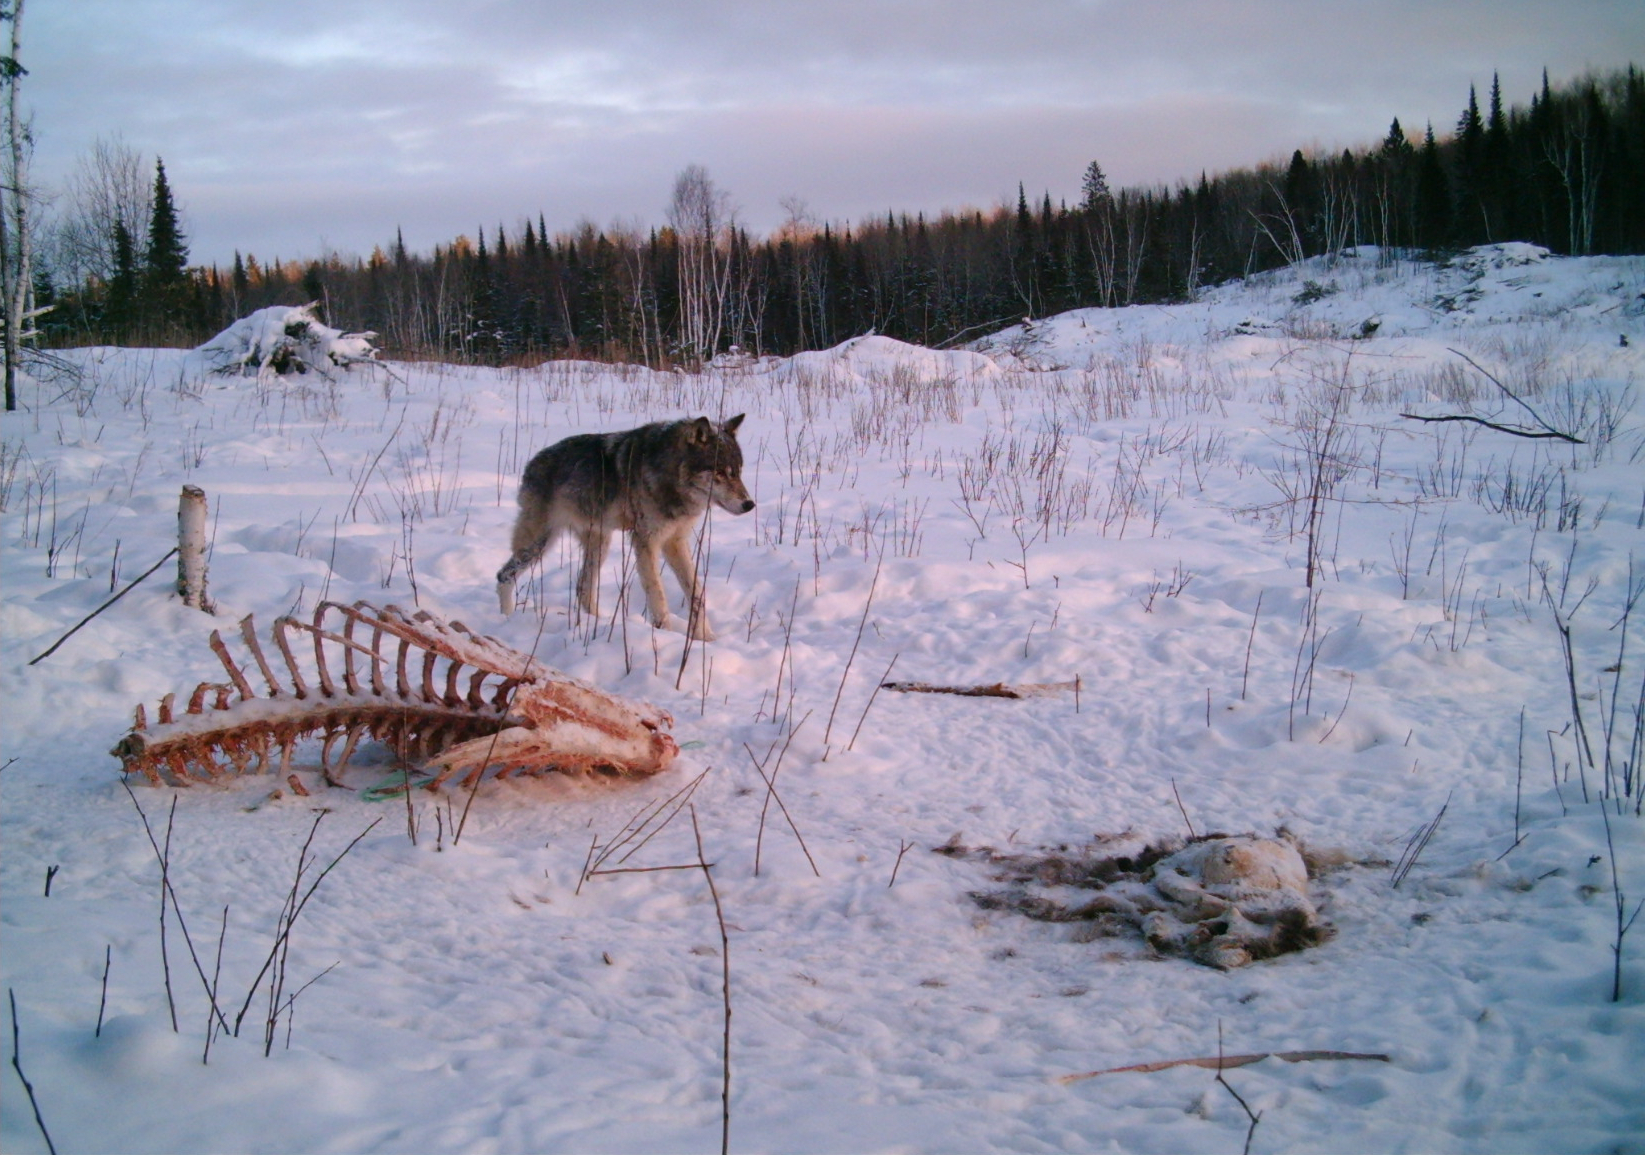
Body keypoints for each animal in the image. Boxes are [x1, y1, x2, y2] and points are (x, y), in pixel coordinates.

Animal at [496, 416, 753, 641]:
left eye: (738, 471)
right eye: (719, 472)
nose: (750, 504)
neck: (668, 475)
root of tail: (532, 463)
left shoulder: (675, 542)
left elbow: (697, 592)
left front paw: (705, 638)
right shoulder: (646, 541)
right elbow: (658, 596)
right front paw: (666, 636)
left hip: (599, 545)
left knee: (583, 587)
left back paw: (597, 623)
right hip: (538, 544)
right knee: (503, 575)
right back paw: (507, 619)